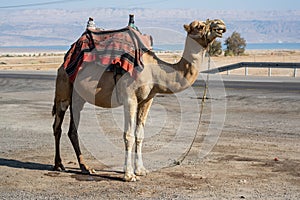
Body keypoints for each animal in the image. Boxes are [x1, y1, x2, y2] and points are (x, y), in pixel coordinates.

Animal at [52, 18, 225, 181]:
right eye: (199, 26)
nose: (220, 25)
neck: (155, 72)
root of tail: (64, 62)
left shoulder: (147, 100)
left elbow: (140, 134)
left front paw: (141, 170)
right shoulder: (129, 97)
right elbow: (129, 135)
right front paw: (129, 175)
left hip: (78, 97)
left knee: (72, 130)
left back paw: (84, 167)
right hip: (64, 90)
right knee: (57, 126)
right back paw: (60, 165)